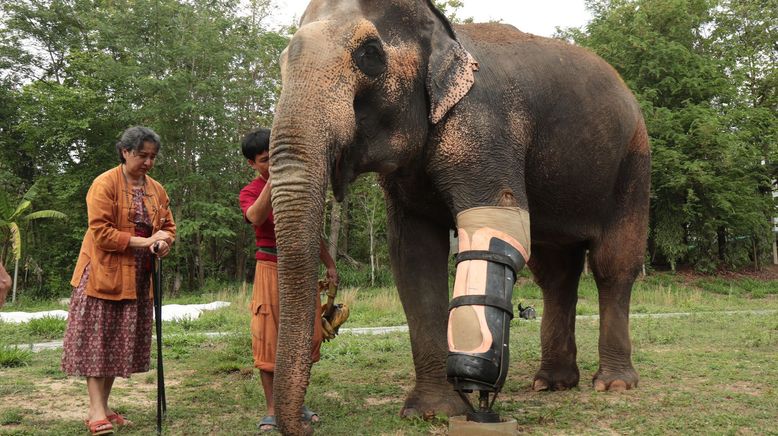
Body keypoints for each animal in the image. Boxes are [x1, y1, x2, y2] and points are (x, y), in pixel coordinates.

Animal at [266, 0, 648, 432]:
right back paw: (551, 383)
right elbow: (413, 256)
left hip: (633, 162)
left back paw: (613, 384)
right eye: (282, 63)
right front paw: (434, 411)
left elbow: (501, 226)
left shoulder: (484, 128)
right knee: (555, 273)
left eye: (369, 56)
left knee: (612, 265)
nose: (310, 423)